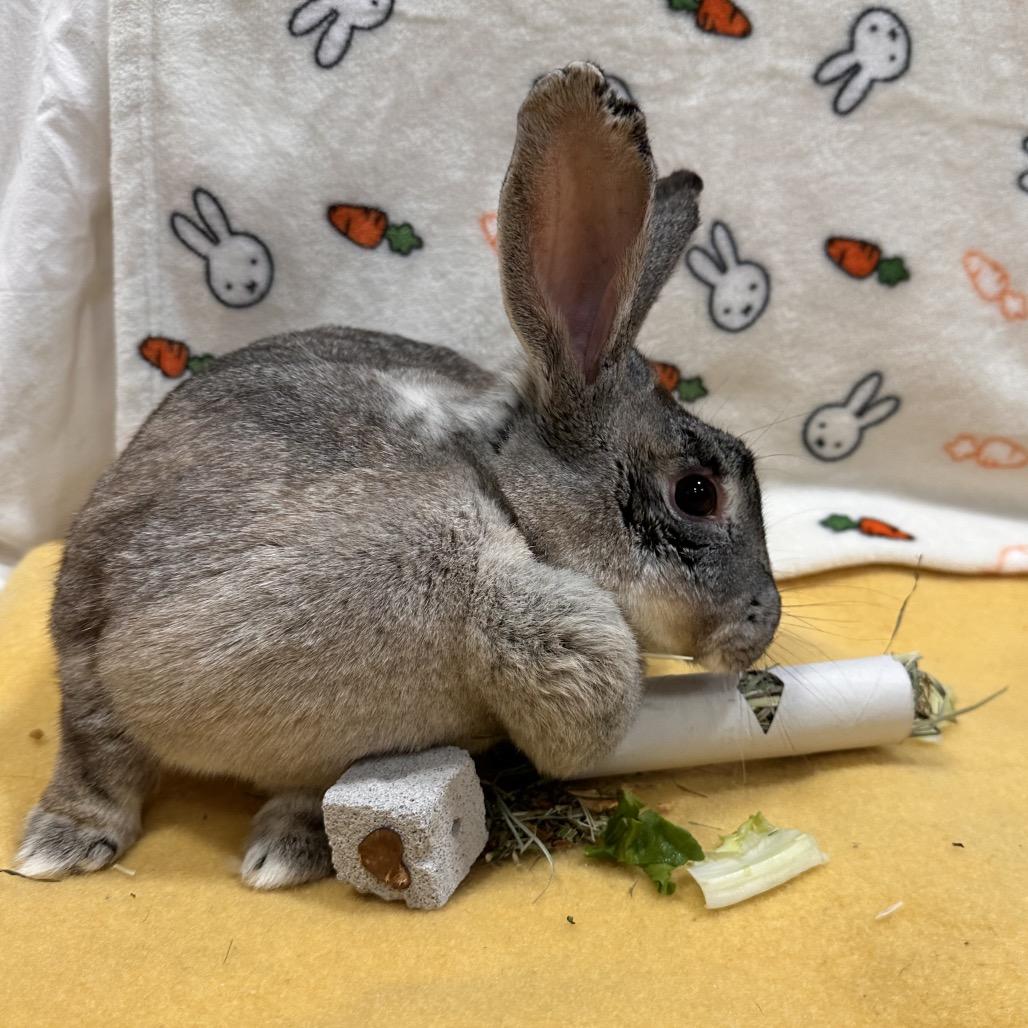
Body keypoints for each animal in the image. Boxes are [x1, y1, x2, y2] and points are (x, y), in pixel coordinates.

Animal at [16, 64, 780, 891]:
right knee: (98, 750)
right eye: (697, 492)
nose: (763, 625)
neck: (506, 497)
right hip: (96, 656)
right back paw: (60, 847)